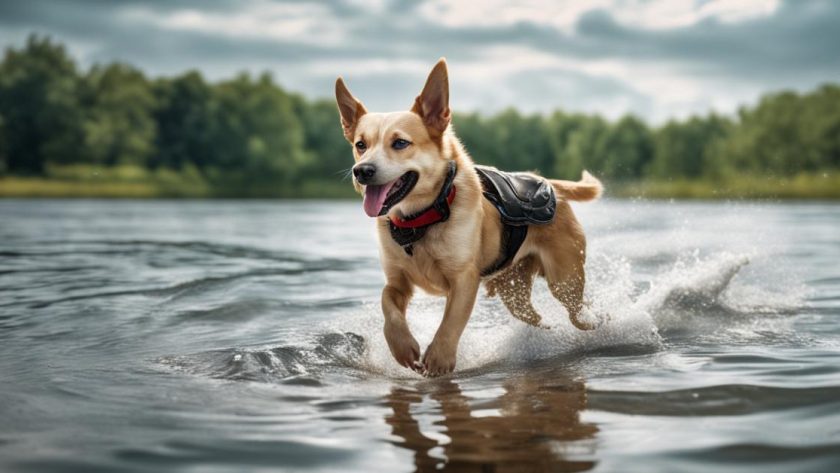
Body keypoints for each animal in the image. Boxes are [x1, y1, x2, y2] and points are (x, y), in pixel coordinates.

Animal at [334, 58, 604, 376]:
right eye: (360, 145)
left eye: (400, 143)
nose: (362, 170)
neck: (420, 219)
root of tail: (551, 184)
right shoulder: (397, 279)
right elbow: (387, 305)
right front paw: (403, 346)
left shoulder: (464, 279)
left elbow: (451, 323)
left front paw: (439, 358)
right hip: (514, 292)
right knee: (535, 317)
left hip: (565, 280)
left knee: (579, 312)